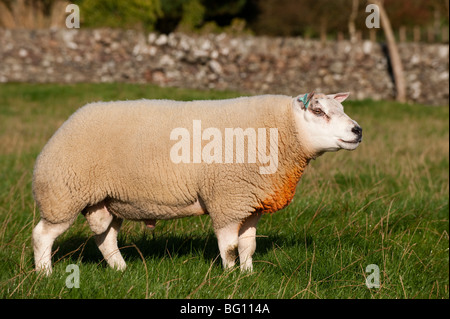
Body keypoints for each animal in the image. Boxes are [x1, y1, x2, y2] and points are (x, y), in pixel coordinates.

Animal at [31, 92, 362, 276]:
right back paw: (44, 274)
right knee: (42, 235)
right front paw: (230, 276)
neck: (280, 132)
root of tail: (70, 121)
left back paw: (121, 269)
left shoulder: (249, 202)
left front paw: (248, 274)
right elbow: (229, 247)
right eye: (318, 111)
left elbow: (249, 245)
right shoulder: (226, 198)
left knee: (105, 238)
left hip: (106, 200)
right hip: (64, 193)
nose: (357, 130)